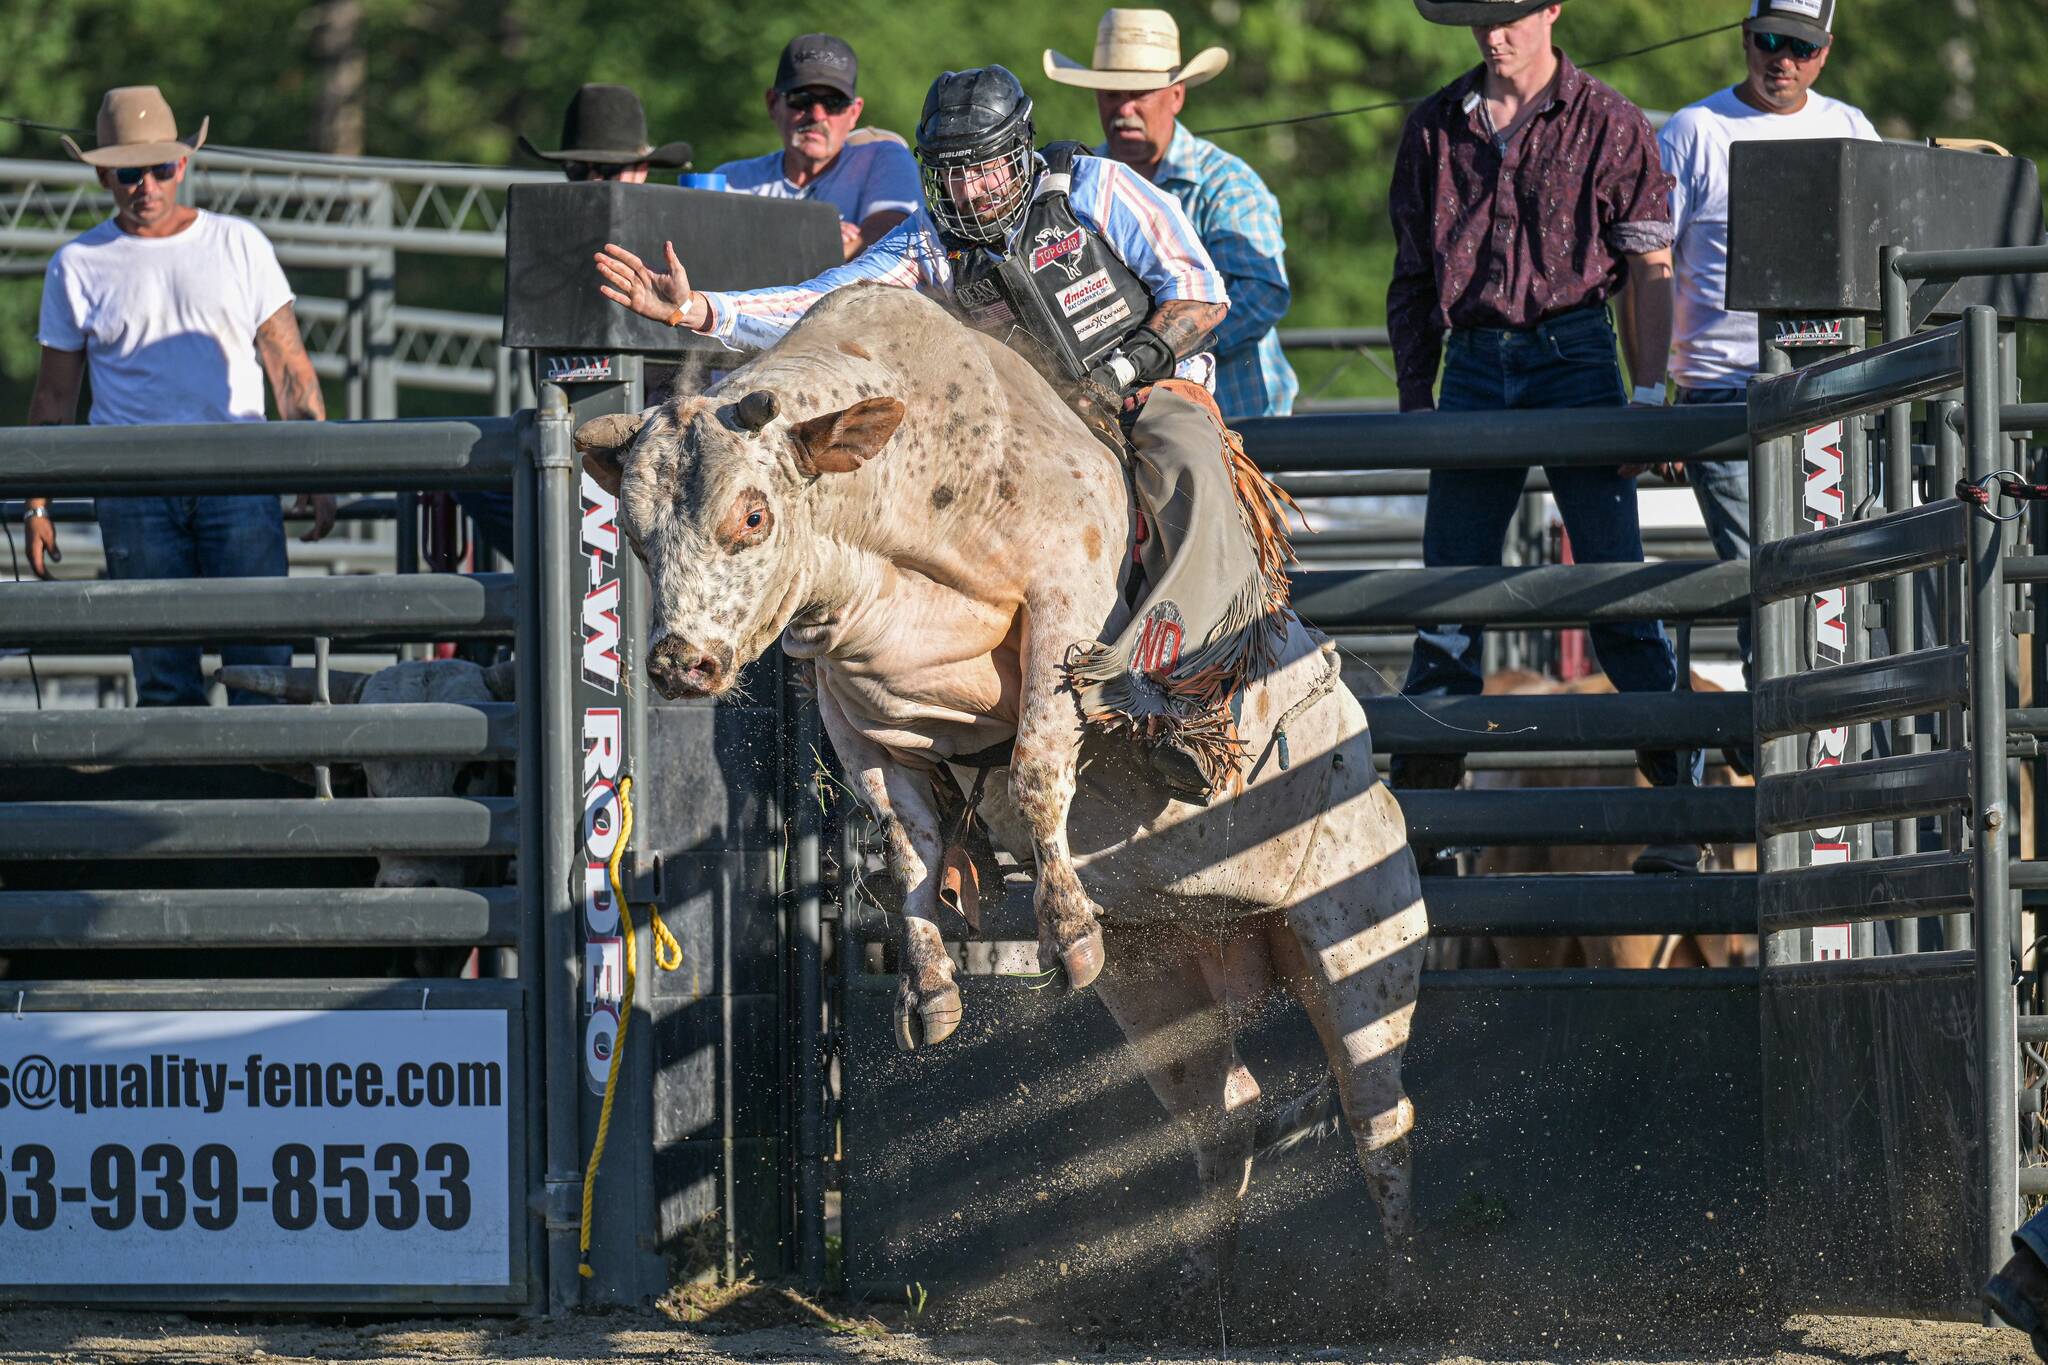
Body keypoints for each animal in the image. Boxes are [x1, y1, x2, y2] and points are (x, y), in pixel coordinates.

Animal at [573, 286, 1425, 1293]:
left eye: (752, 514)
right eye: (632, 532)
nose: (679, 662)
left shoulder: (1063, 609)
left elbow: (1036, 761)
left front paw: (1065, 929)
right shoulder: (855, 711)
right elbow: (906, 842)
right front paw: (931, 990)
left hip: (1360, 938)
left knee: (1378, 1115)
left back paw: (1401, 1291)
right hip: (1163, 981)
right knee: (1227, 1112)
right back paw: (1196, 1288)